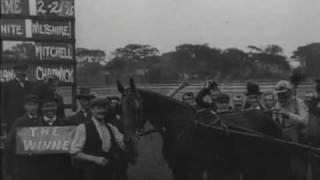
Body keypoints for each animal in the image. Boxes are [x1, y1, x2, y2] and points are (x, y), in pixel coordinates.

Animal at [118, 80, 296, 180]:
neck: (181, 126)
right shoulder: (178, 168)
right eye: (120, 107)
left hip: (273, 161)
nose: (128, 140)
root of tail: (270, 119)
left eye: (136, 107)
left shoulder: (195, 168)